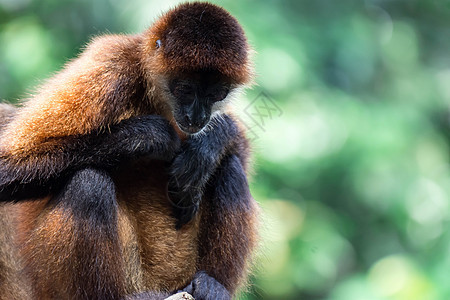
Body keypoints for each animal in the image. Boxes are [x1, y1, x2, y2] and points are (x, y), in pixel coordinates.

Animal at [0, 2, 258, 300]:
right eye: (185, 89)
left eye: (216, 93)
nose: (197, 117)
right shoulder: (113, 63)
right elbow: (7, 168)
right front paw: (148, 136)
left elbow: (238, 155)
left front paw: (207, 147)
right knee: (88, 184)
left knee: (230, 168)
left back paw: (212, 286)